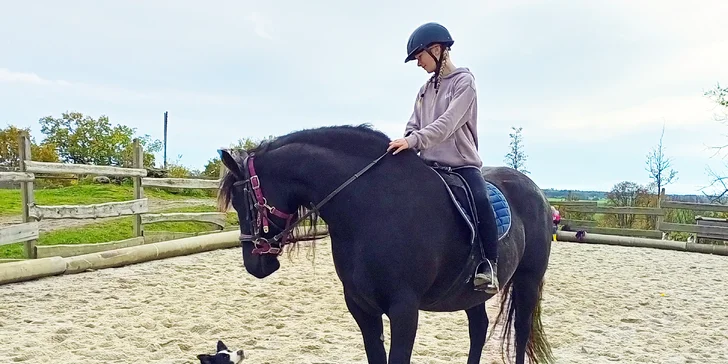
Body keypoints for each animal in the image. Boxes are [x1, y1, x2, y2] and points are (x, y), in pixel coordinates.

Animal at [219, 125, 556, 364]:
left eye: (242, 201)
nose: (255, 265)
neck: (371, 206)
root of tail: (537, 192)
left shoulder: (404, 310)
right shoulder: (361, 307)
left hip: (527, 280)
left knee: (520, 333)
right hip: (471, 293)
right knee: (479, 328)